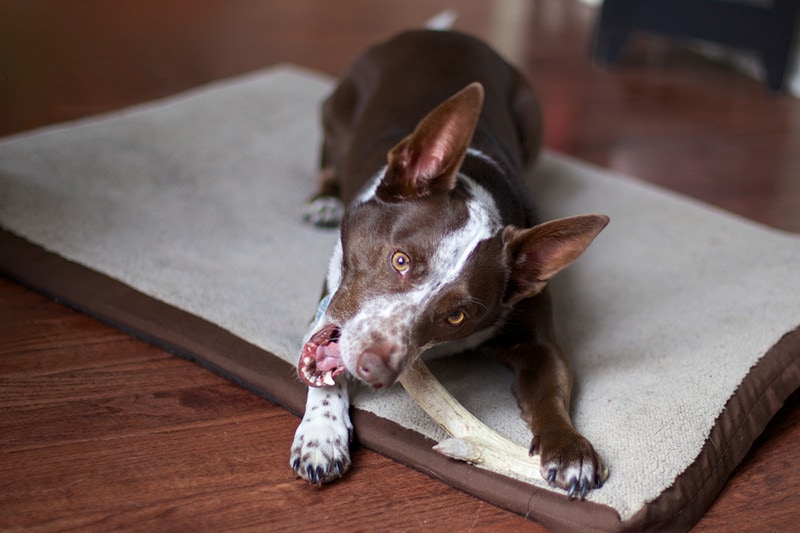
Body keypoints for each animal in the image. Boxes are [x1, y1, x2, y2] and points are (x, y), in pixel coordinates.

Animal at [290, 30, 608, 498]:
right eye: (400, 260)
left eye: (457, 316)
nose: (373, 367)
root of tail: (439, 32)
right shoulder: (330, 303)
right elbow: (325, 372)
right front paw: (321, 436)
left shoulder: (538, 342)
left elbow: (551, 390)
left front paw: (570, 450)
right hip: (337, 114)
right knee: (329, 161)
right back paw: (325, 200)